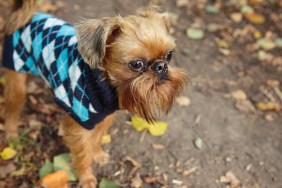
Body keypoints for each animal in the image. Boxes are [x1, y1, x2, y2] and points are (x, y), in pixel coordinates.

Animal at [2, 0, 188, 187]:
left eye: (169, 55)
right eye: (137, 64)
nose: (161, 66)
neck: (103, 82)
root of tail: (27, 14)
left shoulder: (105, 117)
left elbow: (97, 138)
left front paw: (97, 154)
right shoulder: (79, 126)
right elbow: (83, 152)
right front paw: (86, 177)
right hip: (17, 75)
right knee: (11, 108)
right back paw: (11, 135)